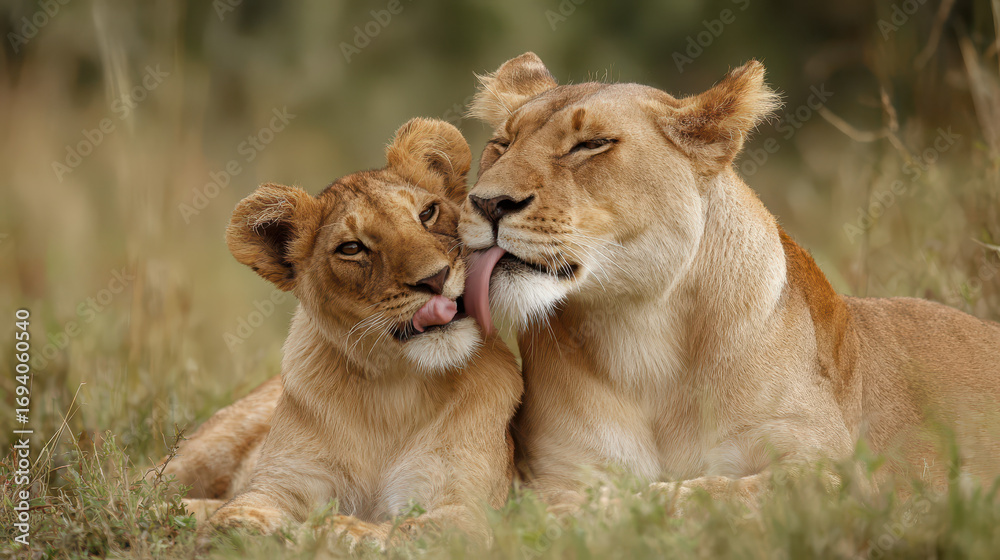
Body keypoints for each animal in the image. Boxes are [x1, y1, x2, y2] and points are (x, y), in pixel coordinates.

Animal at [155, 117, 522, 546]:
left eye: (428, 213)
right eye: (351, 249)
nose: (435, 278)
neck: (395, 391)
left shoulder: (469, 509)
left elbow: (410, 531)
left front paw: (332, 529)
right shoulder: (278, 486)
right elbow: (240, 518)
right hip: (206, 449)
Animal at [459, 52, 1000, 510]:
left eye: (591, 145)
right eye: (501, 144)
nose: (487, 203)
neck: (639, 332)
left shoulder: (840, 476)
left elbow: (711, 492)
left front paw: (625, 506)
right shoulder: (556, 473)